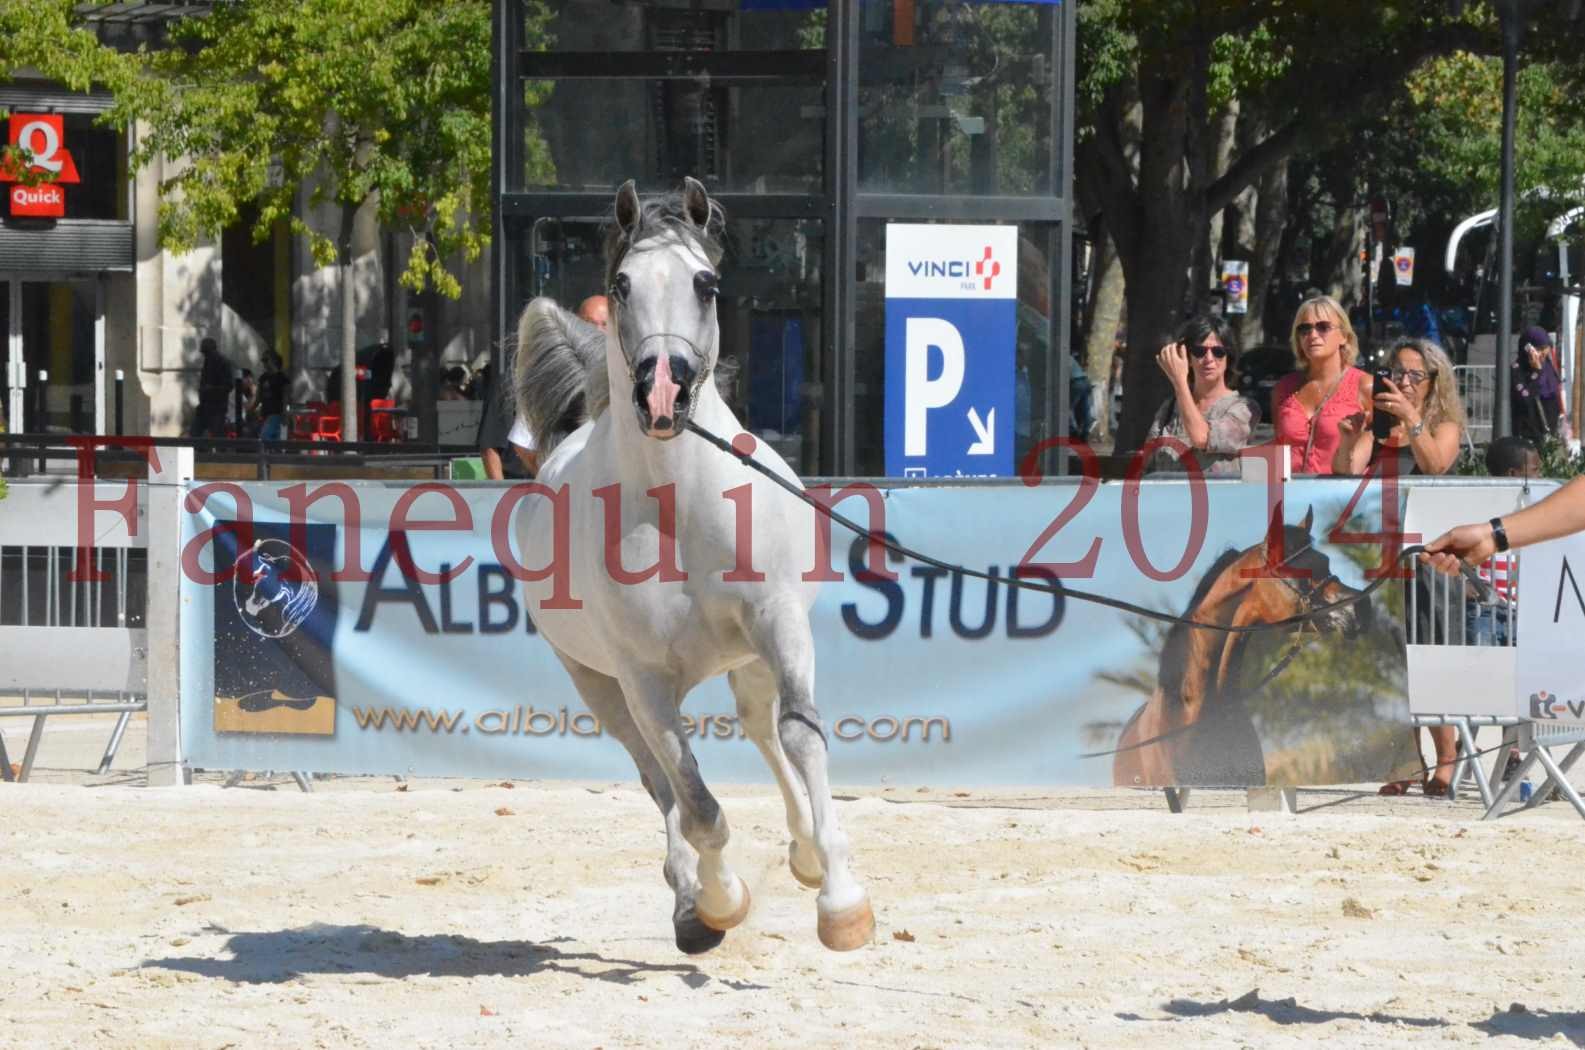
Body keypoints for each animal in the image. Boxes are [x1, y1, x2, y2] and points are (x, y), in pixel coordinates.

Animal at [513, 179, 874, 951]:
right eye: (621, 285)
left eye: (706, 284)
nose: (661, 392)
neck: (678, 509)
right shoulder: (643, 681)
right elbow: (695, 801)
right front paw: (716, 901)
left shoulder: (778, 623)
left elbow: (801, 736)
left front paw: (840, 901)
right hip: (601, 687)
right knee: (659, 782)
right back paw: (690, 901)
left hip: (749, 657)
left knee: (764, 730)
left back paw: (804, 853)